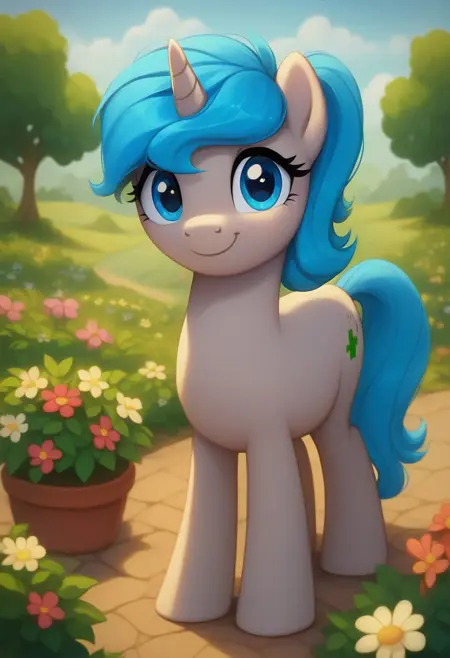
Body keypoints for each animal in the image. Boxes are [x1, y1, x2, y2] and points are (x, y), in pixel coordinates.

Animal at [92, 34, 430, 637]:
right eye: (163, 191)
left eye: (260, 182)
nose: (204, 232)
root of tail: (342, 298)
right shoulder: (208, 446)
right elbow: (207, 516)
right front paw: (187, 609)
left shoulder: (267, 436)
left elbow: (275, 501)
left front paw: (273, 623)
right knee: (303, 464)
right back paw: (315, 562)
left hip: (338, 409)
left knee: (344, 456)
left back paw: (352, 564)